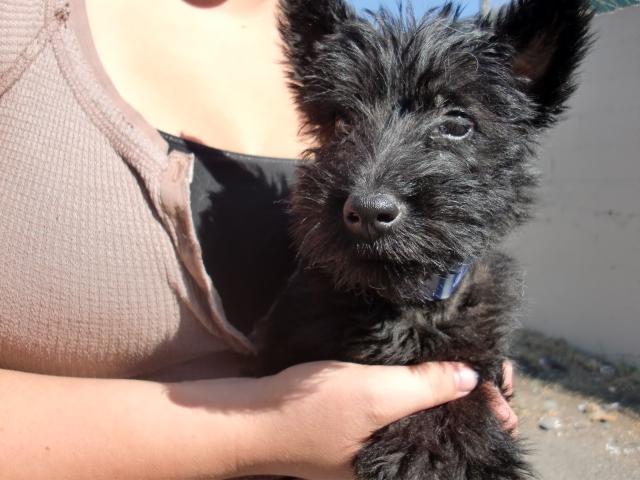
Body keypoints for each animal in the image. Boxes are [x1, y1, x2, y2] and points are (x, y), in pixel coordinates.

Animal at [254, 1, 592, 478]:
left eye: (457, 123)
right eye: (341, 120)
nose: (368, 211)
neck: (403, 302)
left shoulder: (474, 355)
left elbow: (461, 397)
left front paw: (448, 449)